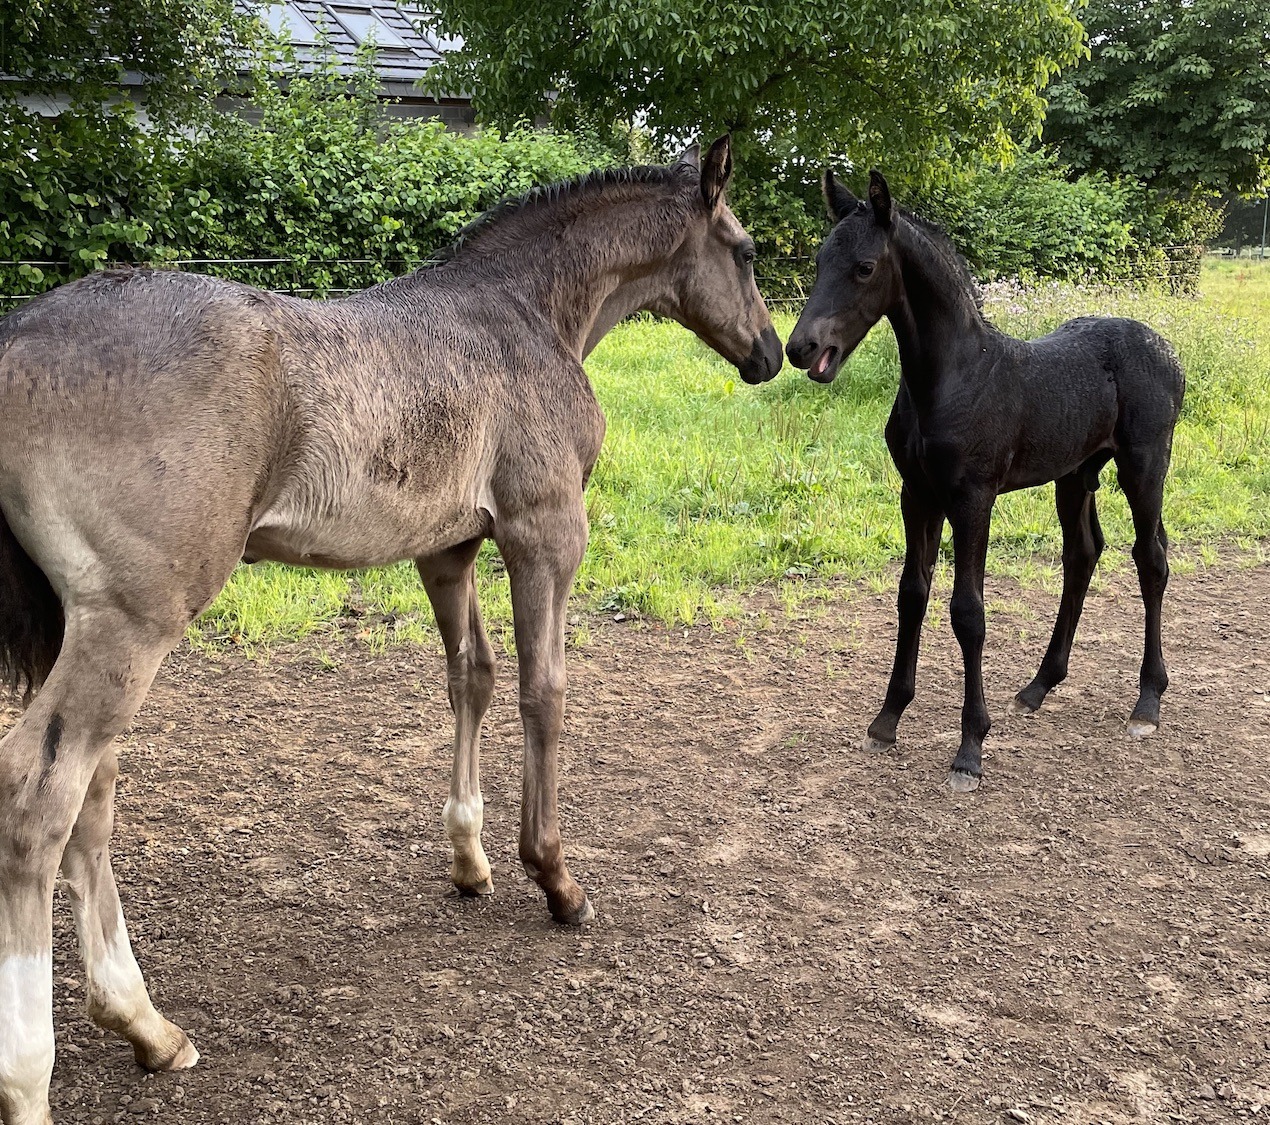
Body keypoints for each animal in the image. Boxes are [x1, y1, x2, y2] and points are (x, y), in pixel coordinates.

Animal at [787, 173, 1183, 792]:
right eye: (821, 259)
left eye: (865, 268)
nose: (800, 347)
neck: (954, 377)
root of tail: (1169, 352)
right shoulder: (917, 495)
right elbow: (912, 595)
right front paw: (887, 720)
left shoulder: (973, 499)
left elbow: (968, 612)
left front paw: (970, 748)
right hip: (1076, 475)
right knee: (1083, 554)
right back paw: (1039, 686)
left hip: (1144, 466)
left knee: (1152, 560)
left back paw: (1147, 702)